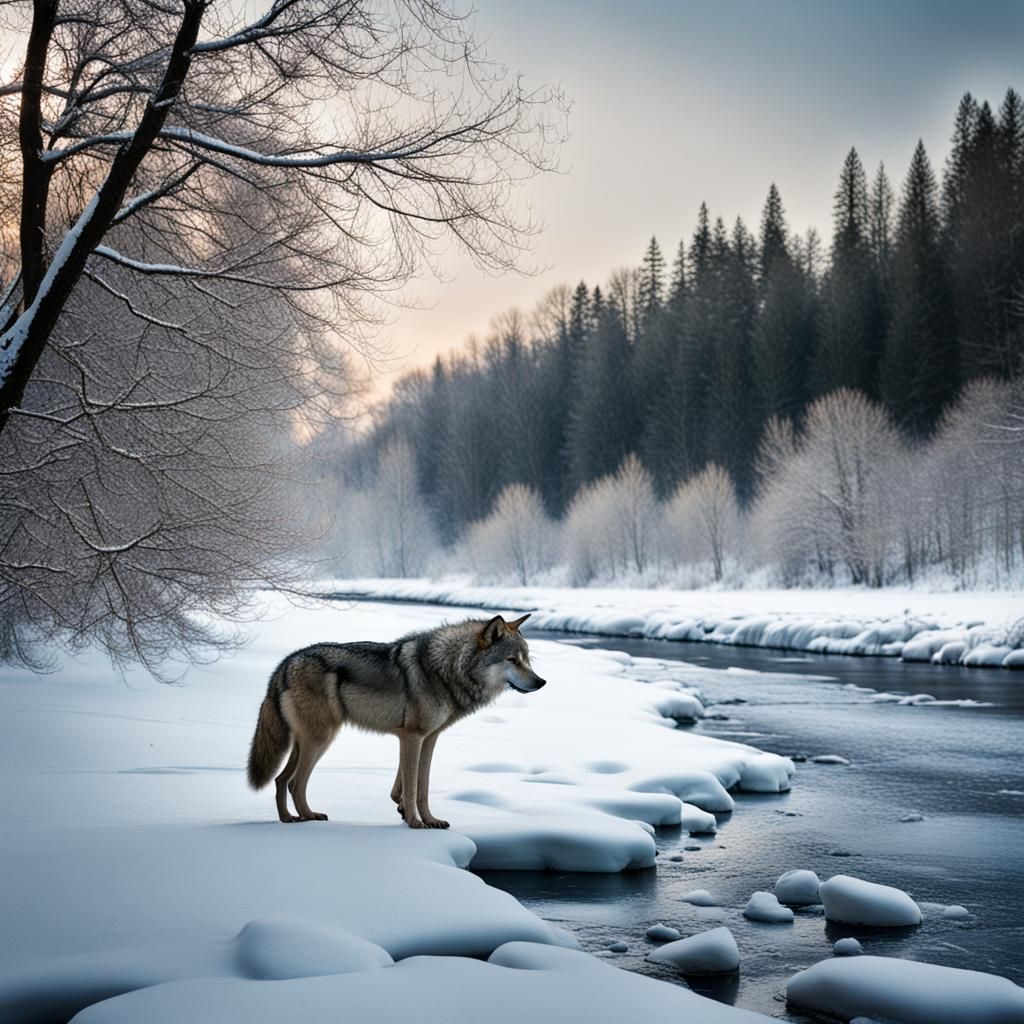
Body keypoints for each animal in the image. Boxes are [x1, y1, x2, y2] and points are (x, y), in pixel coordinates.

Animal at [246, 613, 545, 827]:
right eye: (512, 660)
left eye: (528, 659)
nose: (541, 682)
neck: (445, 670)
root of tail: (286, 663)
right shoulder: (411, 736)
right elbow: (412, 787)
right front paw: (414, 822)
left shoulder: (429, 739)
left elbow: (420, 787)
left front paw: (428, 819)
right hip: (321, 739)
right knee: (296, 783)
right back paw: (308, 817)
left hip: (306, 741)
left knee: (281, 780)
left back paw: (288, 818)